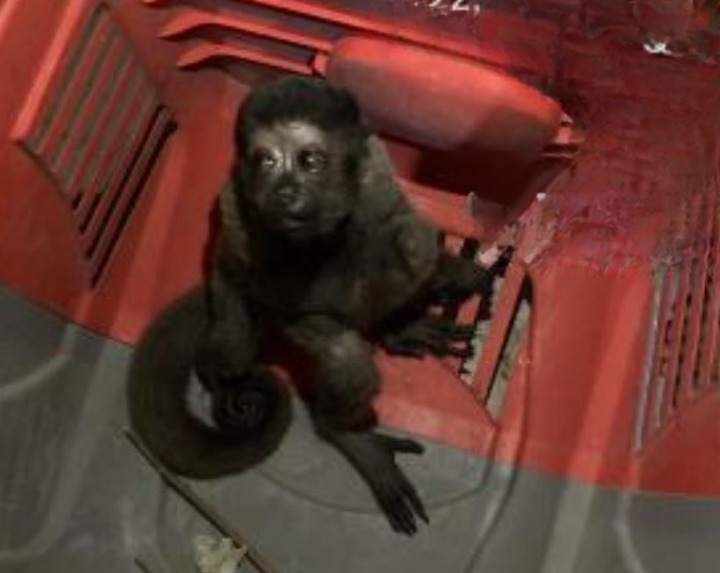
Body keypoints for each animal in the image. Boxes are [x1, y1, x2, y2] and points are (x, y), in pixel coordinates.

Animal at [128, 76, 504, 535]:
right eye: (267, 161)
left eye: (310, 161)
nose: (284, 191)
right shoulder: (238, 199)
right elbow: (279, 276)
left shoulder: (376, 177)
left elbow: (406, 236)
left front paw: (435, 292)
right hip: (243, 309)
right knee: (277, 345)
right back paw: (340, 430)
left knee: (410, 242)